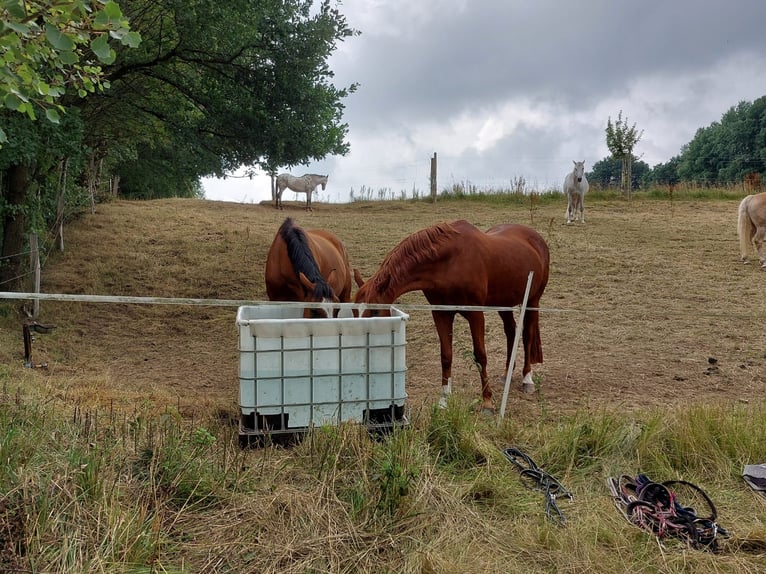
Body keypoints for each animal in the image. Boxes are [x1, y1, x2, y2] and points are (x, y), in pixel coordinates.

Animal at [353, 220, 550, 412]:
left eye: (375, 312)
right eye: (355, 311)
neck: (449, 263)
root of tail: (536, 238)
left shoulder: (475, 314)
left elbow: (480, 355)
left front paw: (487, 401)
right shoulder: (441, 313)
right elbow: (446, 356)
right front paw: (444, 400)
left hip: (532, 300)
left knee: (527, 335)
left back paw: (527, 379)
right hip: (504, 303)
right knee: (511, 332)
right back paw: (507, 372)